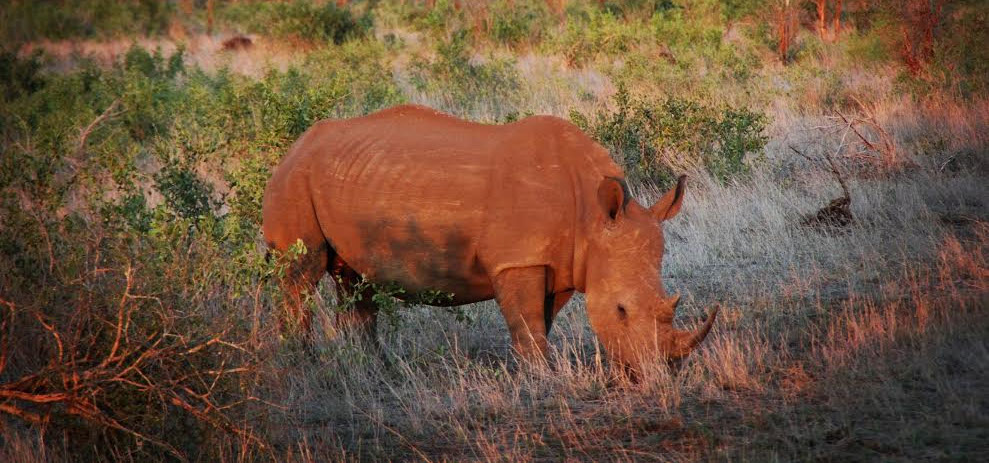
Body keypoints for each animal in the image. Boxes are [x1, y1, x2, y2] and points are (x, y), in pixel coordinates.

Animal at [262, 104, 718, 371]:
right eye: (621, 311)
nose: (660, 371)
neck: (592, 215)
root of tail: (294, 144)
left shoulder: (561, 262)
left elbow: (540, 320)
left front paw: (532, 372)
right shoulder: (518, 259)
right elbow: (527, 322)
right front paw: (540, 377)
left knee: (354, 279)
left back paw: (372, 367)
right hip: (294, 179)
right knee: (300, 276)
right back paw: (299, 363)